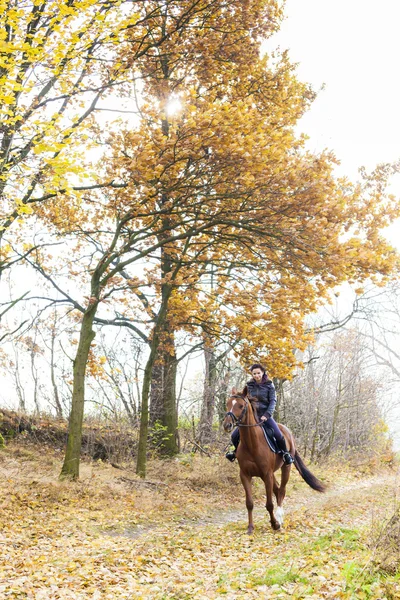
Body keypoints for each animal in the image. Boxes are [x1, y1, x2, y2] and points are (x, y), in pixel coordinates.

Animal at [222, 390, 324, 536]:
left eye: (241, 406)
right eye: (228, 404)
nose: (227, 425)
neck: (252, 443)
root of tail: (287, 431)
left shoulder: (266, 474)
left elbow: (269, 504)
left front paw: (275, 524)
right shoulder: (245, 475)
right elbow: (249, 503)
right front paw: (250, 528)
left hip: (285, 467)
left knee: (282, 491)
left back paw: (280, 517)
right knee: (277, 490)